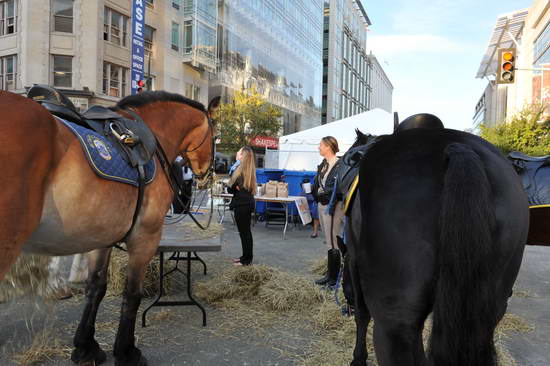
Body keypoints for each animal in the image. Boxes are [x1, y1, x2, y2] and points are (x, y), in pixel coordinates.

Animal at [0, 90, 220, 364]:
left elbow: (96, 288)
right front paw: (126, 351)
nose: (208, 176)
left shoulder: (101, 238)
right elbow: (132, 293)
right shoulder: (144, 238)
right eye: (216, 137)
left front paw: (86, 347)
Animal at [344, 114, 532, 366]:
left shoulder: (354, 259)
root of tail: (458, 148)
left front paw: (358, 359)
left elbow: (361, 314)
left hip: (394, 320)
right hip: (491, 306)